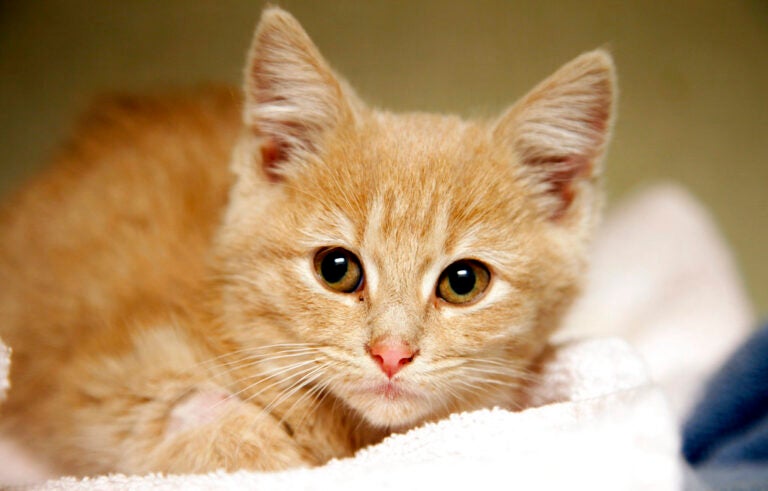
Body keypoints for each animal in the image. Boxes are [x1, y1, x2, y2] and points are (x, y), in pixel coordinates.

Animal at [0, 7, 616, 476]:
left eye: (464, 282)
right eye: (337, 268)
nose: (391, 354)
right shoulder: (84, 377)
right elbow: (183, 410)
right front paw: (270, 447)